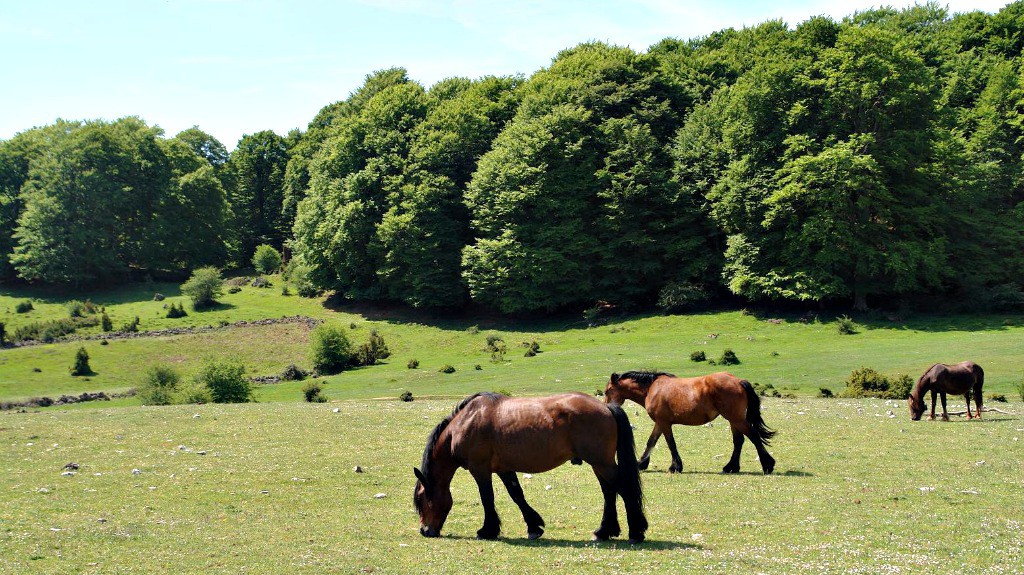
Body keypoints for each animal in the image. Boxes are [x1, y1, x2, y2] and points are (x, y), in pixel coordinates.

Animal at [409, 388, 643, 540]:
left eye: (421, 499)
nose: (425, 531)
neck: (465, 422)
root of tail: (607, 407)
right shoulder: (503, 468)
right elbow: (517, 495)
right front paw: (534, 527)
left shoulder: (480, 469)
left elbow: (487, 498)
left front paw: (487, 531)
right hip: (599, 464)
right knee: (609, 492)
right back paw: (604, 531)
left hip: (601, 463)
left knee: (624, 489)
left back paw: (636, 532)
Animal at [598, 372, 774, 474]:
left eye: (607, 391)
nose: (606, 407)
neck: (651, 389)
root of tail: (738, 381)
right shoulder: (660, 423)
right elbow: (651, 441)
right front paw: (641, 464)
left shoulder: (664, 423)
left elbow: (671, 443)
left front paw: (675, 467)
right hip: (733, 420)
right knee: (739, 441)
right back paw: (731, 467)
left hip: (735, 418)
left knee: (753, 436)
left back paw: (767, 465)